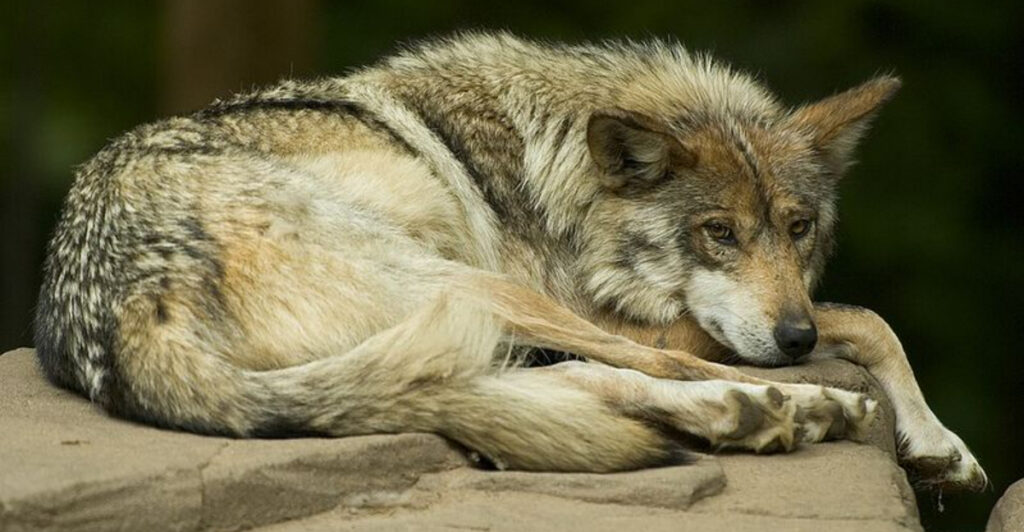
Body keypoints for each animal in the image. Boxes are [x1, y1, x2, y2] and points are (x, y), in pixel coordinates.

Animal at [35, 32, 984, 490]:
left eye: (798, 228)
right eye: (718, 233)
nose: (791, 339)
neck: (554, 172)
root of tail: (122, 306)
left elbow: (867, 319)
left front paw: (939, 445)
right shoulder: (620, 312)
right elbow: (863, 316)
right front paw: (930, 436)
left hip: (461, 318)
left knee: (551, 385)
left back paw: (750, 412)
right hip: (475, 286)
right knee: (644, 368)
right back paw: (793, 406)